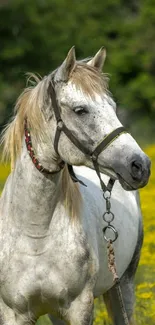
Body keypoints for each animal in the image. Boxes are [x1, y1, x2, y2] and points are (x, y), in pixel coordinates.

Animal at [0, 46, 150, 324]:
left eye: (113, 107)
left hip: (123, 286)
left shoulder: (80, 307)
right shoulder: (14, 313)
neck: (36, 233)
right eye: (81, 110)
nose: (140, 165)